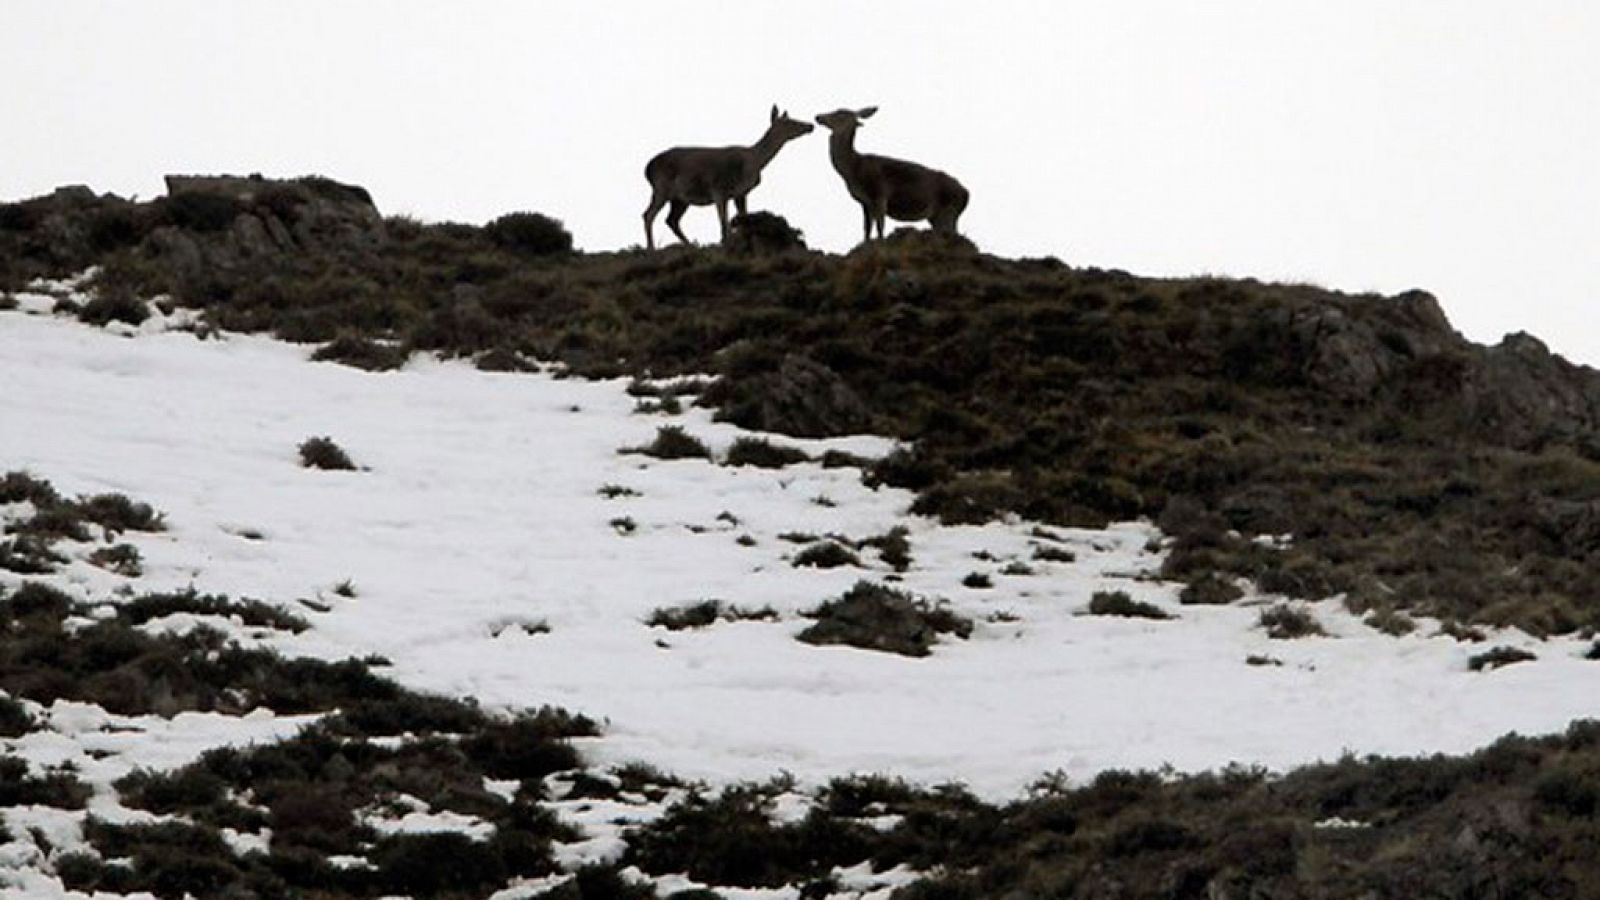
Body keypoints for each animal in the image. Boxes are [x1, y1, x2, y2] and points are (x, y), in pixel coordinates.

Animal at [640, 107, 812, 249]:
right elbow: (724, 223)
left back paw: (691, 245)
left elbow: (743, 219)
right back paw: (651, 248)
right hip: (661, 188)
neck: (753, 162)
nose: (810, 126)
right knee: (648, 215)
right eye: (790, 122)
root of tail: (647, 169)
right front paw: (725, 243)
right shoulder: (719, 189)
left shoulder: (740, 193)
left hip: (679, 199)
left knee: (671, 220)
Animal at [819, 105, 966, 241]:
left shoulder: (880, 194)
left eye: (840, 114)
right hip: (936, 216)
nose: (818, 117)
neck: (854, 170)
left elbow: (880, 227)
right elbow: (866, 229)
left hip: (948, 210)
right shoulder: (864, 202)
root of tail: (966, 193)